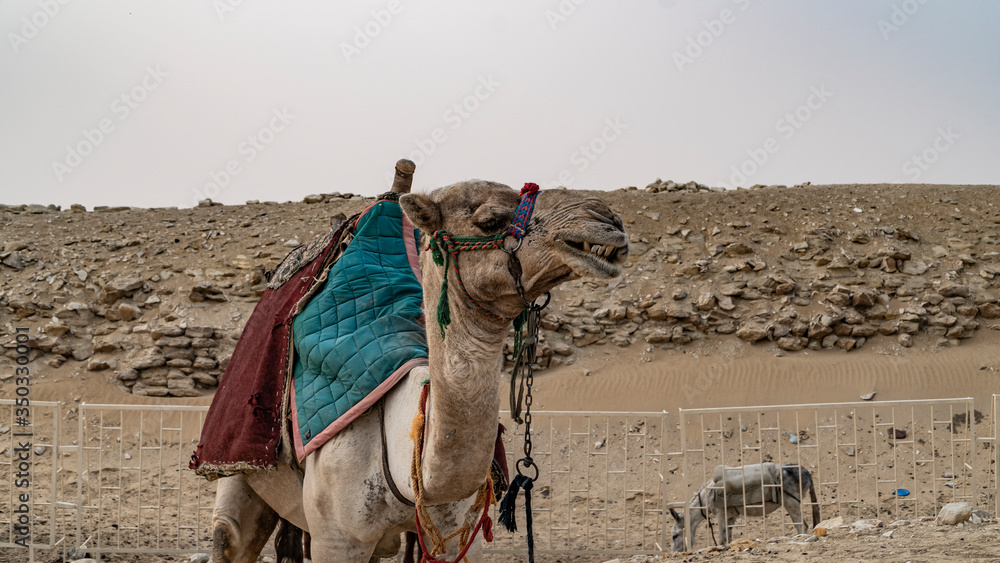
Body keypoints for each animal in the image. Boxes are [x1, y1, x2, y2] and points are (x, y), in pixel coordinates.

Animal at [210, 177, 629, 562]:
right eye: (491, 220)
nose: (606, 218)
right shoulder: (338, 538)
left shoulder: (456, 535)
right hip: (238, 465)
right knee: (229, 536)